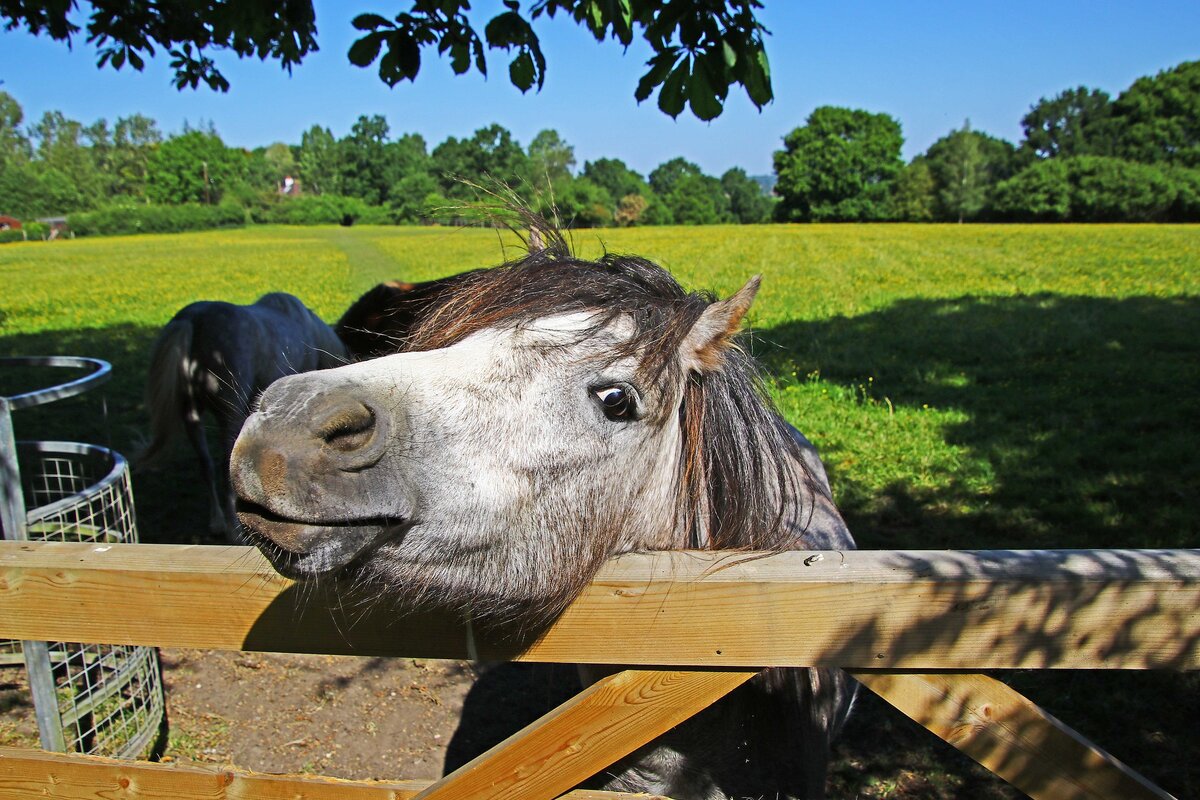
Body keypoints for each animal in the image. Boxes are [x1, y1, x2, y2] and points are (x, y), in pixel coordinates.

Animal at [142, 291, 348, 542]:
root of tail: (193, 319)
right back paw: (234, 530)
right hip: (228, 411)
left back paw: (217, 522)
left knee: (205, 463)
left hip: (191, 412)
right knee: (224, 466)